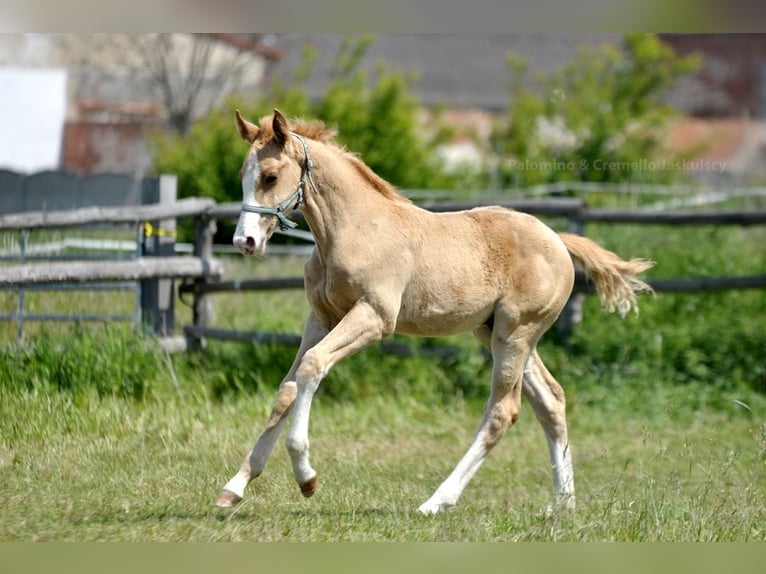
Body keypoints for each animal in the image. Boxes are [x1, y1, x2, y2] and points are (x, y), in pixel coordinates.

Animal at [215, 108, 654, 514]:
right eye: (243, 173)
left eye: (271, 176)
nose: (244, 241)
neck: (352, 229)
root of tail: (559, 241)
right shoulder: (321, 318)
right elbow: (288, 388)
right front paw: (235, 486)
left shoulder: (374, 317)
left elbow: (312, 366)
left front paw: (306, 478)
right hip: (495, 332)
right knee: (551, 401)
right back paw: (563, 503)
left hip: (516, 333)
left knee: (503, 412)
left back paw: (437, 501)